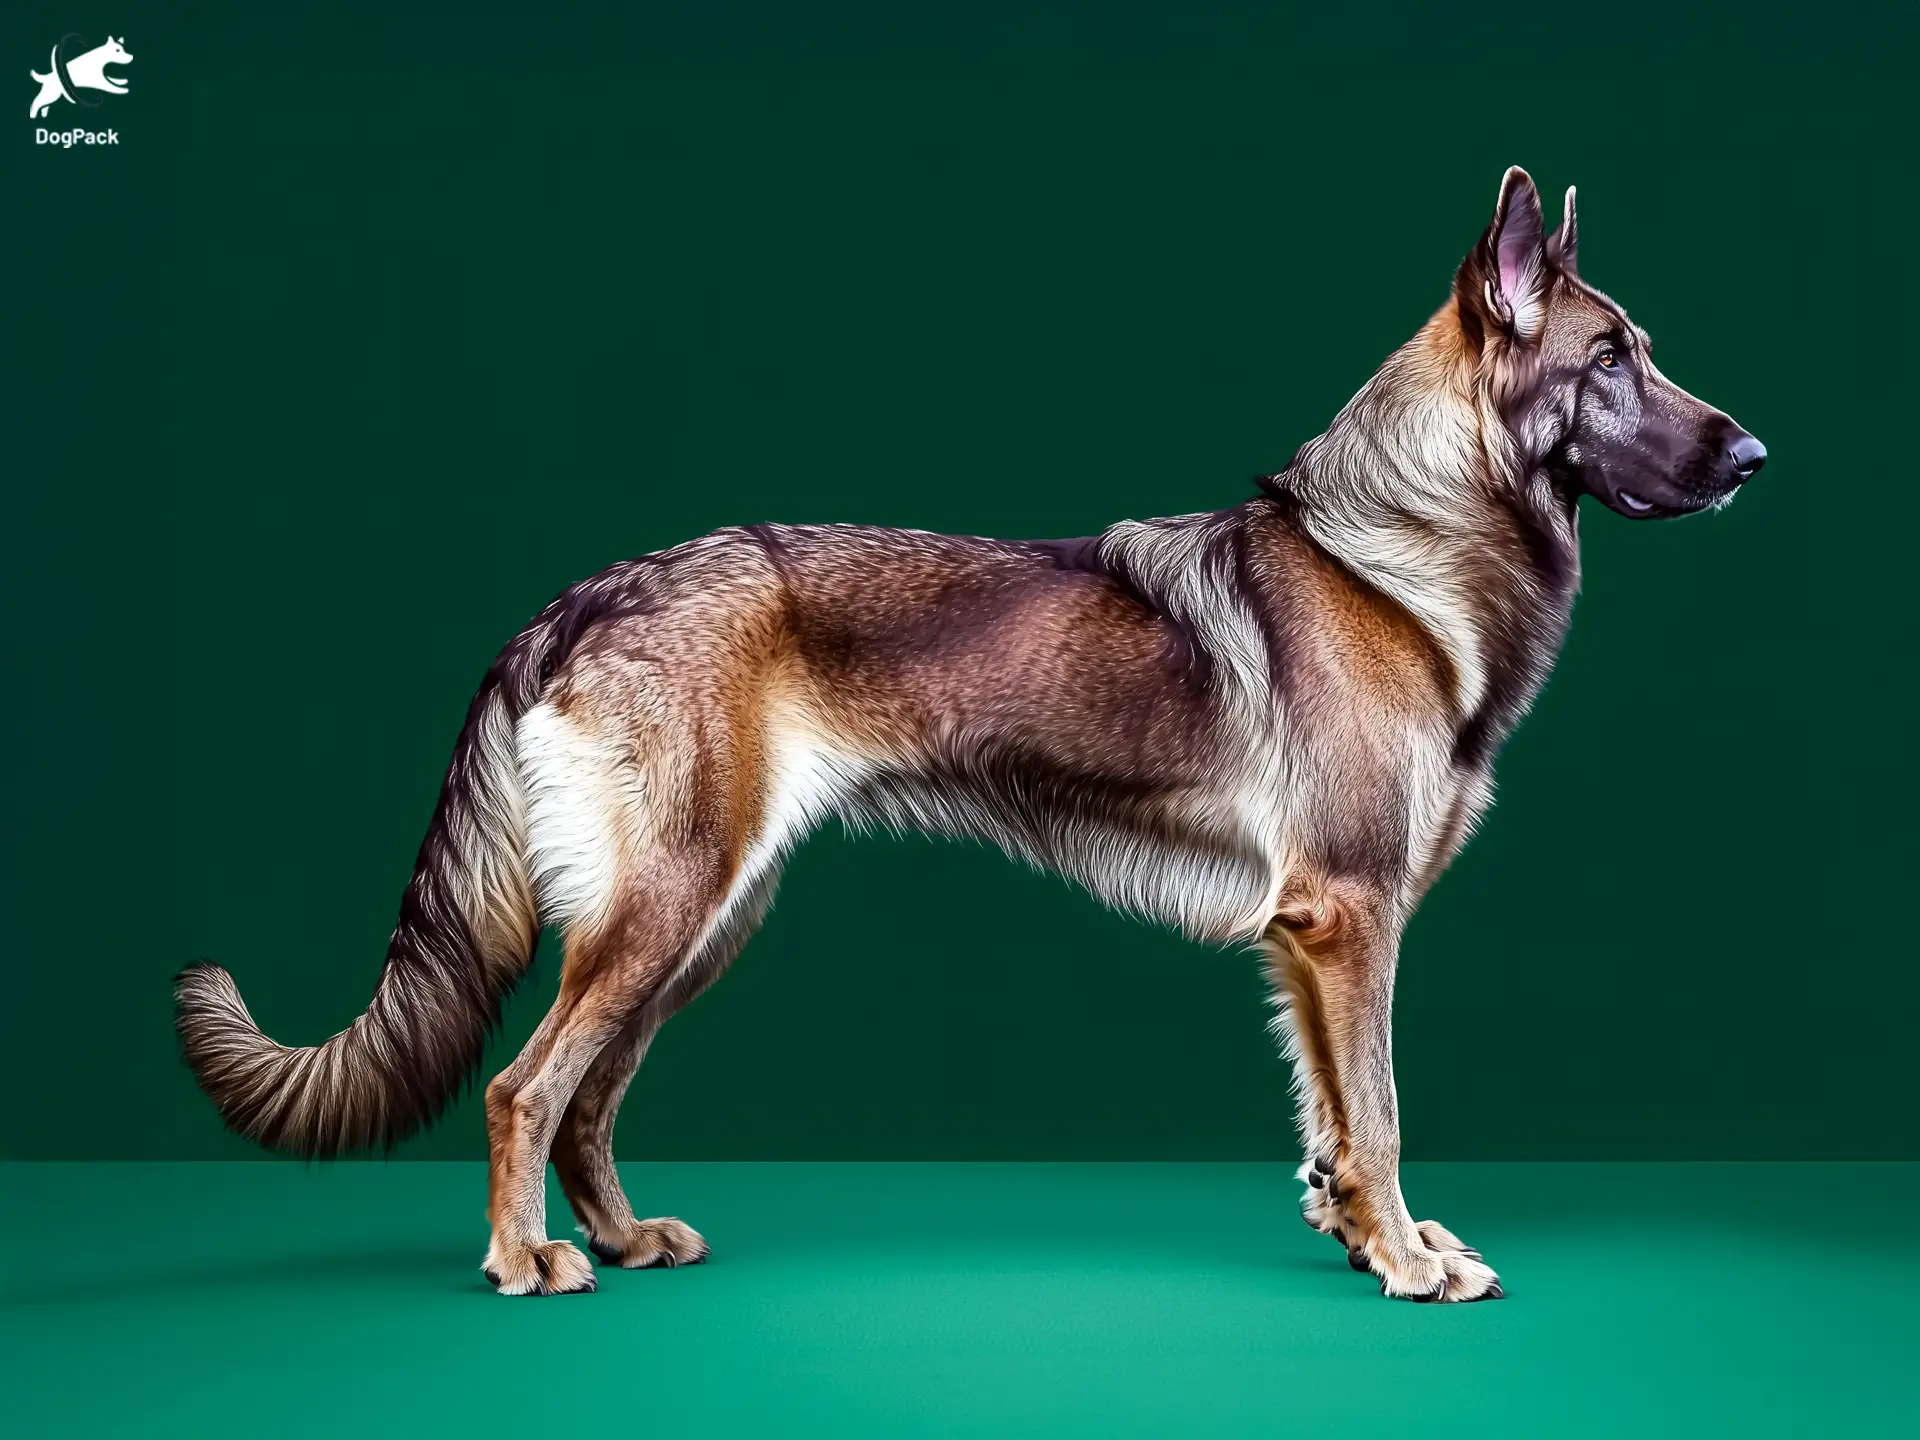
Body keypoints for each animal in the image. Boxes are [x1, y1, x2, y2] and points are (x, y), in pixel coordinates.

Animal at [180, 168, 1766, 1305]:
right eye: (1612, 360)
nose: (1754, 456)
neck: (1401, 555)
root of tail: (583, 595)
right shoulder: (1351, 921)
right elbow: (1376, 1111)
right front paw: (1415, 1261)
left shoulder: (1311, 942)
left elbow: (1334, 1121)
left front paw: (1370, 1239)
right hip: (667, 912)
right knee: (526, 1089)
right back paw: (528, 1264)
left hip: (702, 927)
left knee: (585, 1099)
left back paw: (623, 1241)